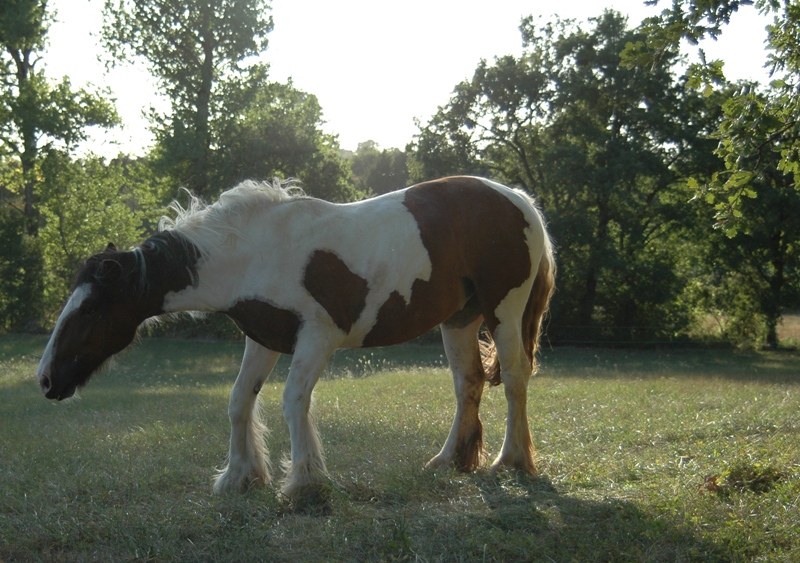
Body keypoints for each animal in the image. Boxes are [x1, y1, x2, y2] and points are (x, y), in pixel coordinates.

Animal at [34, 176, 552, 498]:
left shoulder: (317, 337)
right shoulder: (263, 339)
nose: (45, 380)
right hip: (460, 319)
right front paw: (239, 477)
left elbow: (292, 401)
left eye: (91, 308)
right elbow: (239, 401)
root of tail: (517, 198)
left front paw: (305, 483)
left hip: (503, 310)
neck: (254, 251)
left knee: (515, 379)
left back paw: (512, 461)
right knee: (468, 384)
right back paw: (449, 461)